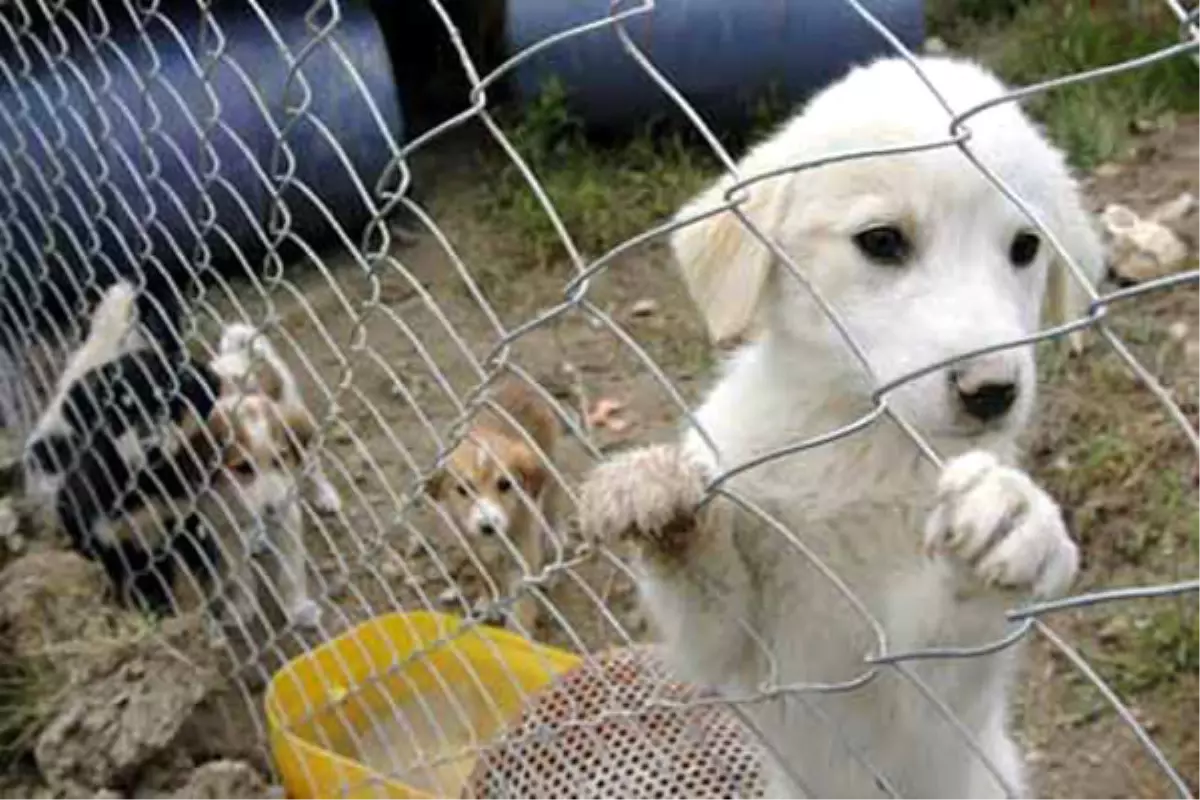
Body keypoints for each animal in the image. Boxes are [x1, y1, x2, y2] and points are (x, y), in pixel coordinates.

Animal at [427, 379, 561, 633]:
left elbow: (522, 604)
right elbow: (486, 574)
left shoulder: (524, 552)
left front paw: (518, 634)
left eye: (505, 484)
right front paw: (488, 600)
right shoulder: (471, 542)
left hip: (547, 476)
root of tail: (517, 382)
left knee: (550, 512)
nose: (488, 526)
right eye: (463, 490)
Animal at [580, 57, 1104, 800]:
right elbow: (702, 591)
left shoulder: (916, 702)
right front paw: (658, 497)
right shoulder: (734, 647)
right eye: (882, 242)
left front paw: (1010, 520)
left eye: (1026, 247)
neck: (858, 445)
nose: (992, 393)